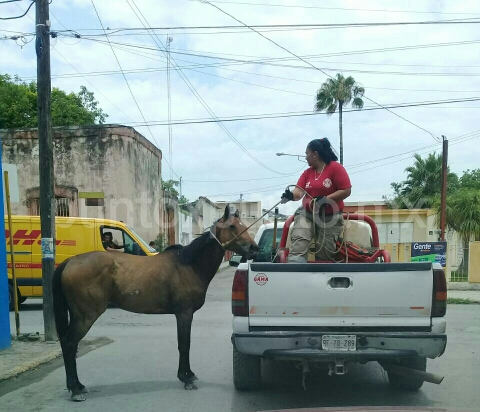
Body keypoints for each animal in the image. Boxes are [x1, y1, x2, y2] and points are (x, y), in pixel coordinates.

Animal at [51, 204, 258, 400]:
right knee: (69, 343)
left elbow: (185, 343)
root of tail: (70, 262)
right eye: (232, 226)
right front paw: (186, 378)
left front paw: (187, 374)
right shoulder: (184, 313)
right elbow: (184, 344)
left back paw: (78, 386)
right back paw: (75, 389)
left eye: (243, 224)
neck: (189, 265)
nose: (254, 248)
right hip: (85, 316)